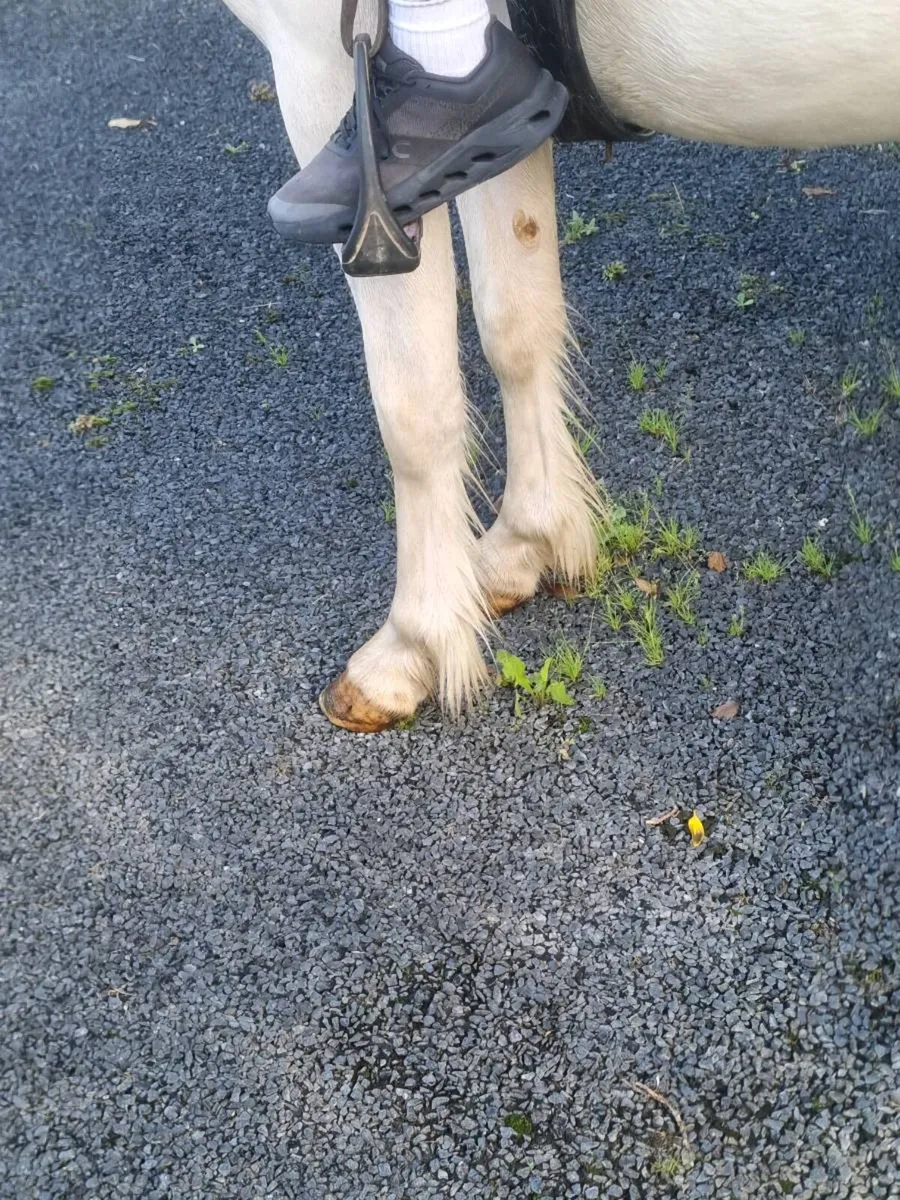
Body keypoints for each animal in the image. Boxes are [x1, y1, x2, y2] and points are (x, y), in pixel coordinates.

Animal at [221, 0, 900, 732]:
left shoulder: (326, 71)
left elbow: (414, 405)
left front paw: (412, 645)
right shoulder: (504, 132)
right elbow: (516, 325)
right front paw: (528, 539)